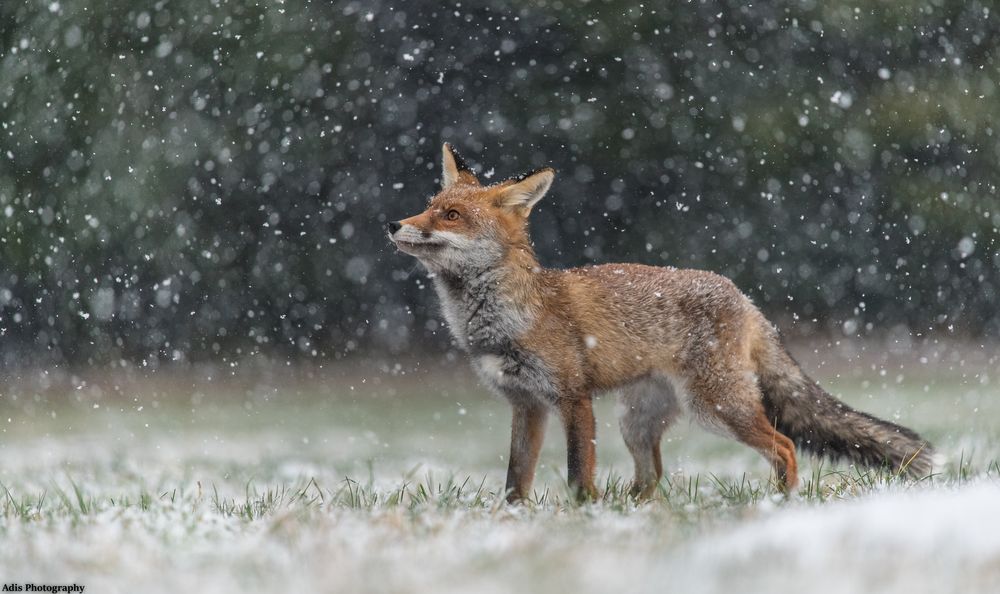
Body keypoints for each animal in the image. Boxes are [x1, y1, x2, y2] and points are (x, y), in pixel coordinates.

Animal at [386, 143, 932, 500]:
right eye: (427, 207)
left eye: (451, 215)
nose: (393, 223)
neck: (503, 318)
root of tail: (744, 297)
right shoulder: (527, 404)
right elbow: (516, 480)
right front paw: (514, 521)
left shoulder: (572, 398)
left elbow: (578, 475)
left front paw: (584, 518)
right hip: (637, 422)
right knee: (651, 479)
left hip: (717, 408)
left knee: (786, 446)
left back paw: (781, 504)